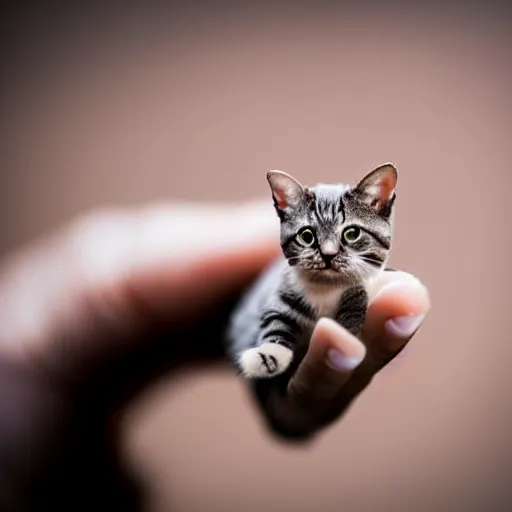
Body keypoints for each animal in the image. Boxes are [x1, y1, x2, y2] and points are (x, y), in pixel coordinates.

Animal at [226, 164, 398, 380]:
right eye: (306, 236)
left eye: (352, 233)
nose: (328, 254)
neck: (326, 287)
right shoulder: (280, 296)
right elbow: (276, 322)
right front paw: (268, 356)